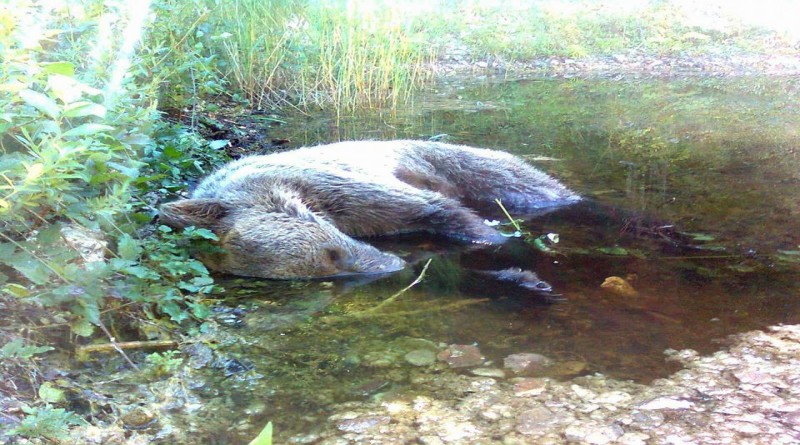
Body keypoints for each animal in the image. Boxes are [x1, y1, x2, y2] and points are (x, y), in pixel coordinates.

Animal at [159, 140, 580, 278]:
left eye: (333, 252)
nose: (390, 265)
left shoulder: (336, 186)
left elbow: (443, 213)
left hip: (461, 162)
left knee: (537, 187)